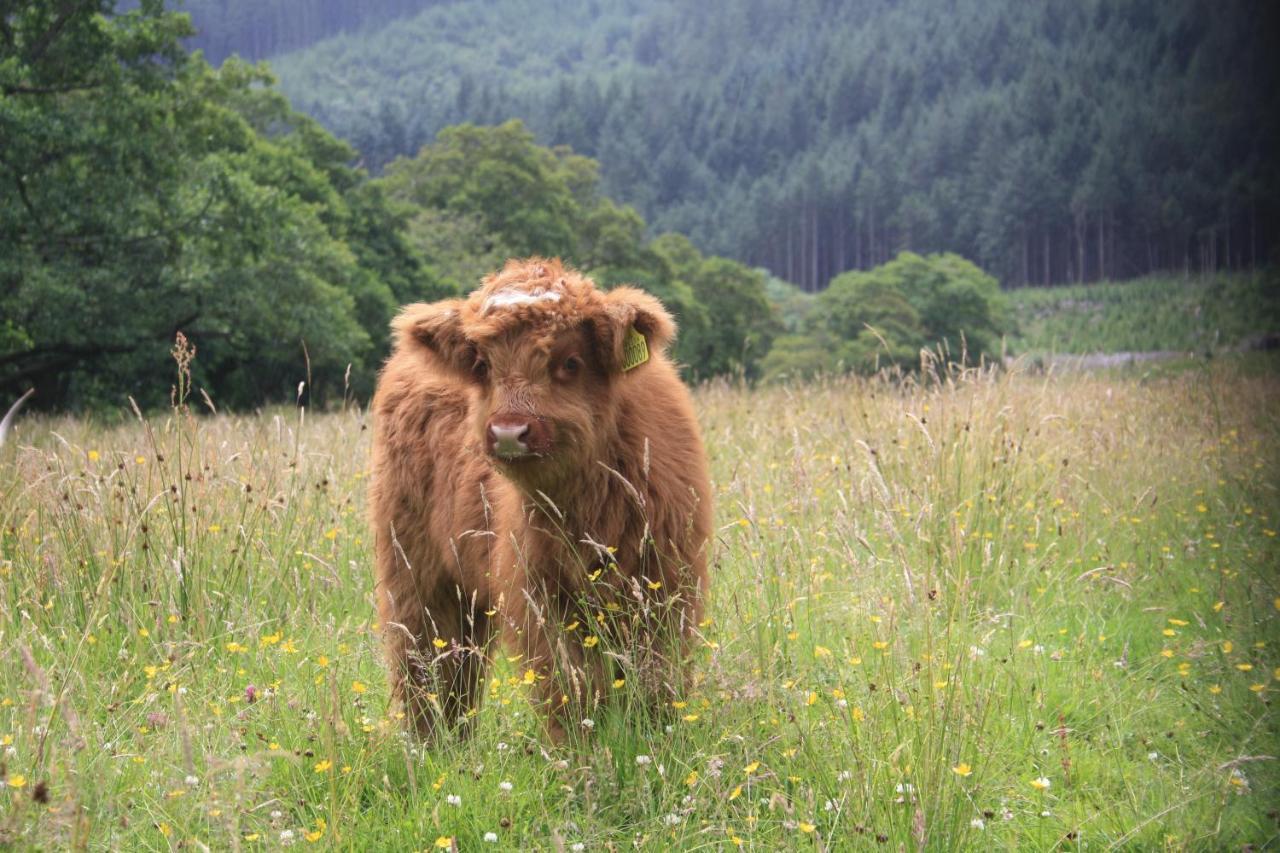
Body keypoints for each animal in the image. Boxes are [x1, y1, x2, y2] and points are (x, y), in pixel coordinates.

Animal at [368, 256, 711, 742]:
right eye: (483, 364)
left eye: (570, 362)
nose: (509, 431)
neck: (587, 511)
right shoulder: (535, 592)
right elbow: (570, 686)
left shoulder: (667, 582)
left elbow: (656, 680)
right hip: (415, 569)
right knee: (428, 665)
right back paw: (435, 747)